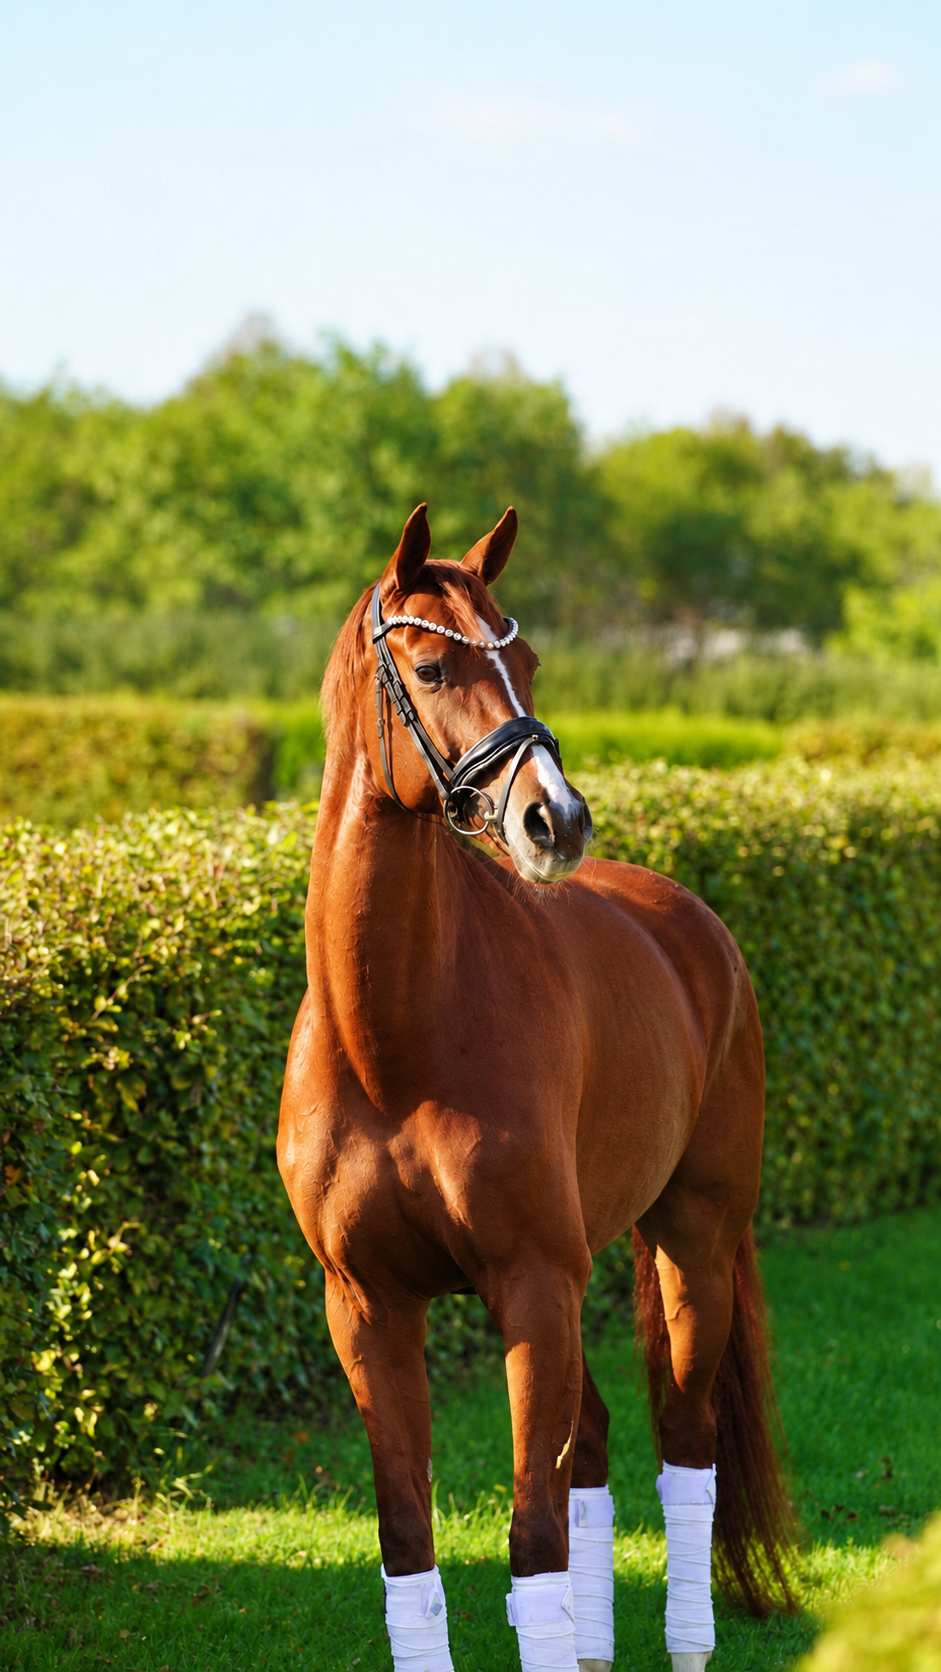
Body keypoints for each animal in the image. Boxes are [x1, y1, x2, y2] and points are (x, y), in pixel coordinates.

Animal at [277, 504, 796, 1672]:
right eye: (430, 665)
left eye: (527, 663)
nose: (554, 822)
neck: (396, 1042)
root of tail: (694, 927)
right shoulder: (368, 1308)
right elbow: (411, 1548)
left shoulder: (530, 1285)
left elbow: (532, 1547)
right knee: (594, 1449)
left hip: (689, 1243)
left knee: (682, 1453)